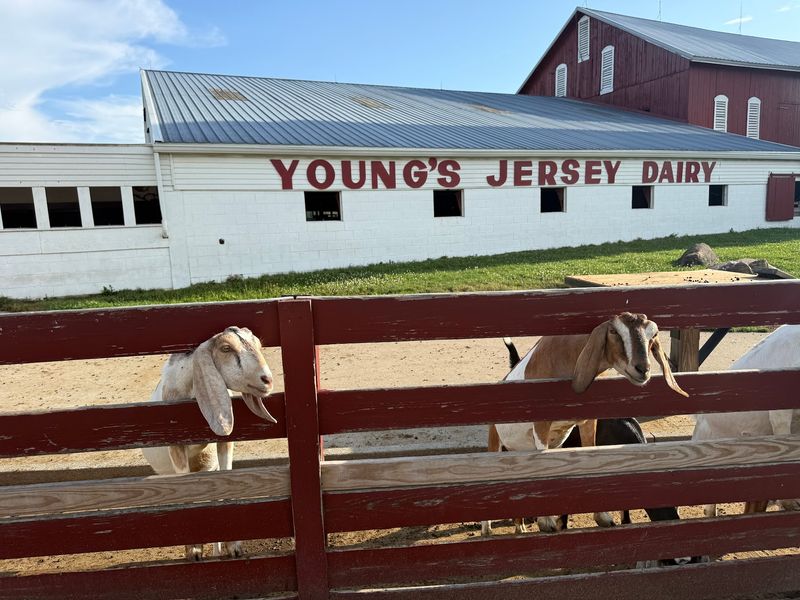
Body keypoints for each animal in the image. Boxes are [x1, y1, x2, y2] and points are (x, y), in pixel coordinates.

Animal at [141, 326, 277, 560]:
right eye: (226, 348)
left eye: (258, 344)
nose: (266, 379)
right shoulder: (176, 447)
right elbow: (186, 493)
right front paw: (194, 550)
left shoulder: (224, 443)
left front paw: (234, 547)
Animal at [482, 313, 687, 535]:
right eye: (613, 331)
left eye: (653, 335)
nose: (643, 369)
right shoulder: (541, 423)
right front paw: (547, 522)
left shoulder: (588, 419)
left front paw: (603, 517)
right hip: (495, 440)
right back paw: (489, 530)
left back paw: (520, 528)